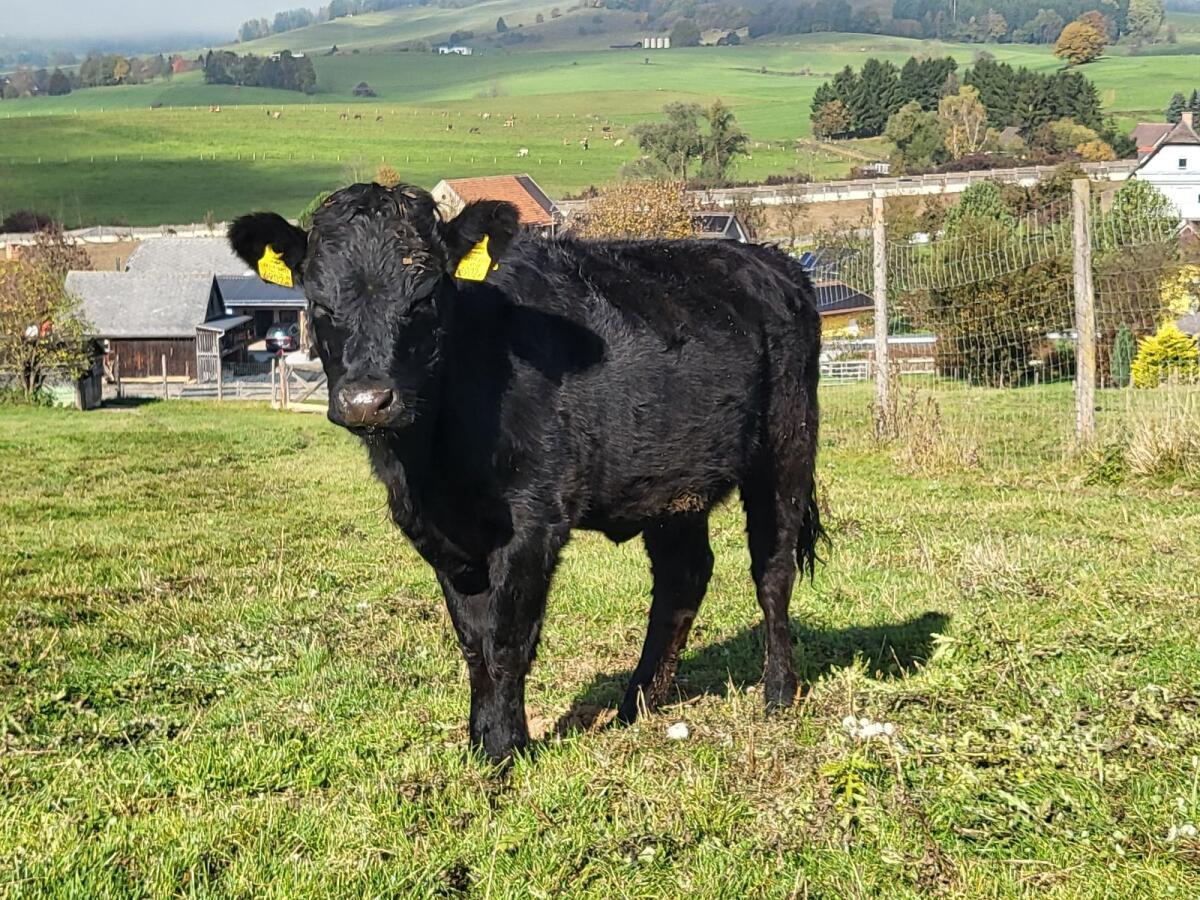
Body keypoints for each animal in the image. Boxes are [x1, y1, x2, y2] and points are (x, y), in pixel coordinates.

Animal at [229, 182, 824, 763]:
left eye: (425, 297)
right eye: (317, 301)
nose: (366, 401)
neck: (432, 462)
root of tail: (770, 261)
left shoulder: (533, 521)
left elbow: (507, 638)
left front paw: (505, 750)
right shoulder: (440, 534)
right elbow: (473, 642)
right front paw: (479, 742)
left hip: (787, 447)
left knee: (772, 570)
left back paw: (776, 692)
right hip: (673, 487)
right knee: (684, 576)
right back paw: (638, 703)